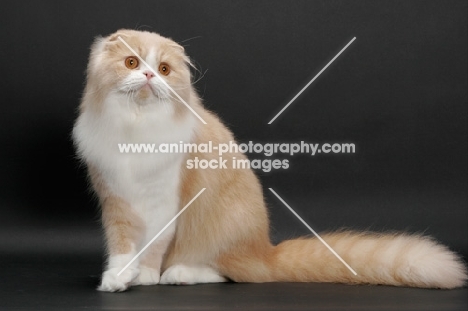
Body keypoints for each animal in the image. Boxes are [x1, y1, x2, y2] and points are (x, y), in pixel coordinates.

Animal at [71, 29, 466, 292]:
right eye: (132, 62)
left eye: (165, 69)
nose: (149, 75)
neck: (135, 129)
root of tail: (266, 250)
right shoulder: (116, 200)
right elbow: (122, 246)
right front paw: (118, 277)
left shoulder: (164, 201)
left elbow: (153, 245)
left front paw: (147, 276)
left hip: (225, 231)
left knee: (233, 273)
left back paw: (178, 274)